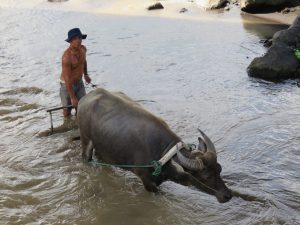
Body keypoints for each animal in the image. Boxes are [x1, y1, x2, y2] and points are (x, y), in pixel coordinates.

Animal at [77, 89, 232, 203]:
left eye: (219, 169)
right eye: (207, 176)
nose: (227, 195)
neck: (162, 155)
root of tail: (84, 99)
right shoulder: (148, 182)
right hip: (86, 140)